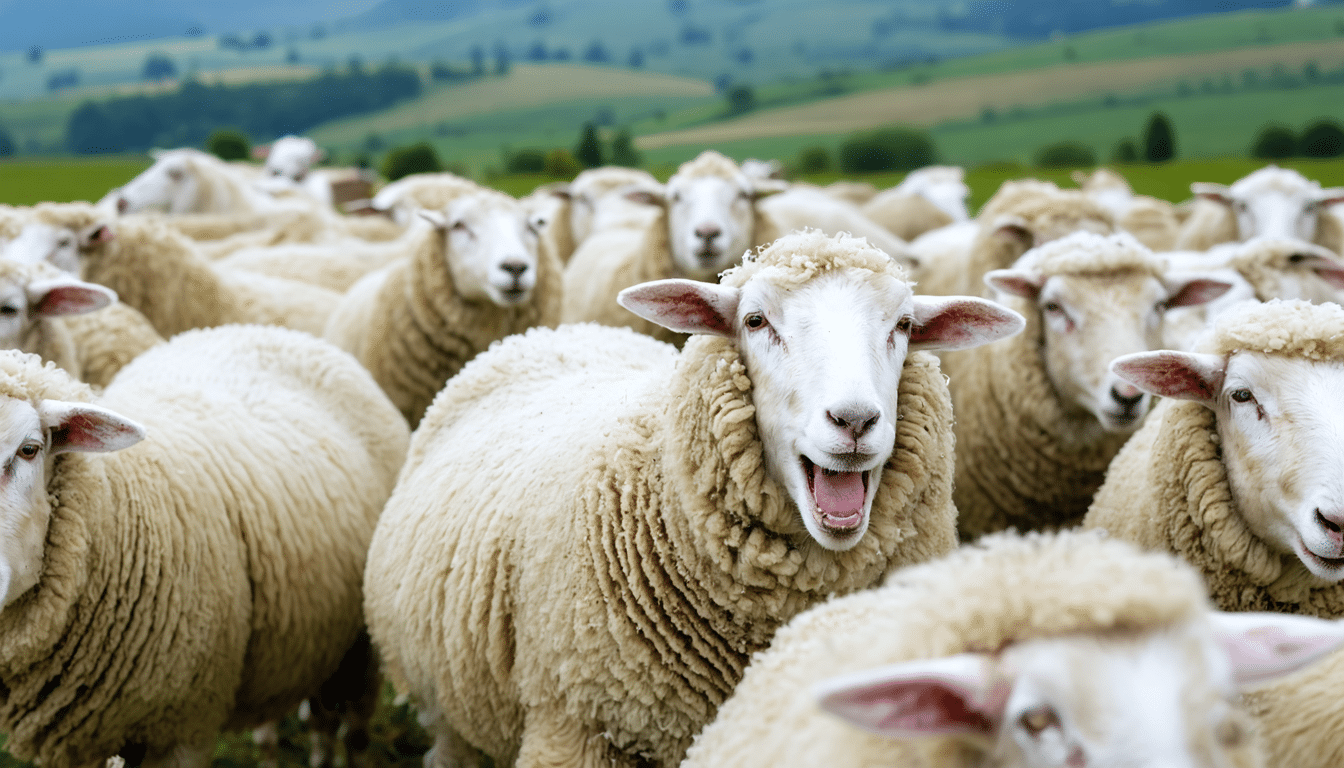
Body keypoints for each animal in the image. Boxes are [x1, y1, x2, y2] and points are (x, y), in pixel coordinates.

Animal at [362, 229, 1025, 768]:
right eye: (755, 321)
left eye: (904, 327)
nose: (855, 420)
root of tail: (556, 333)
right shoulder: (579, 730)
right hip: (448, 715)